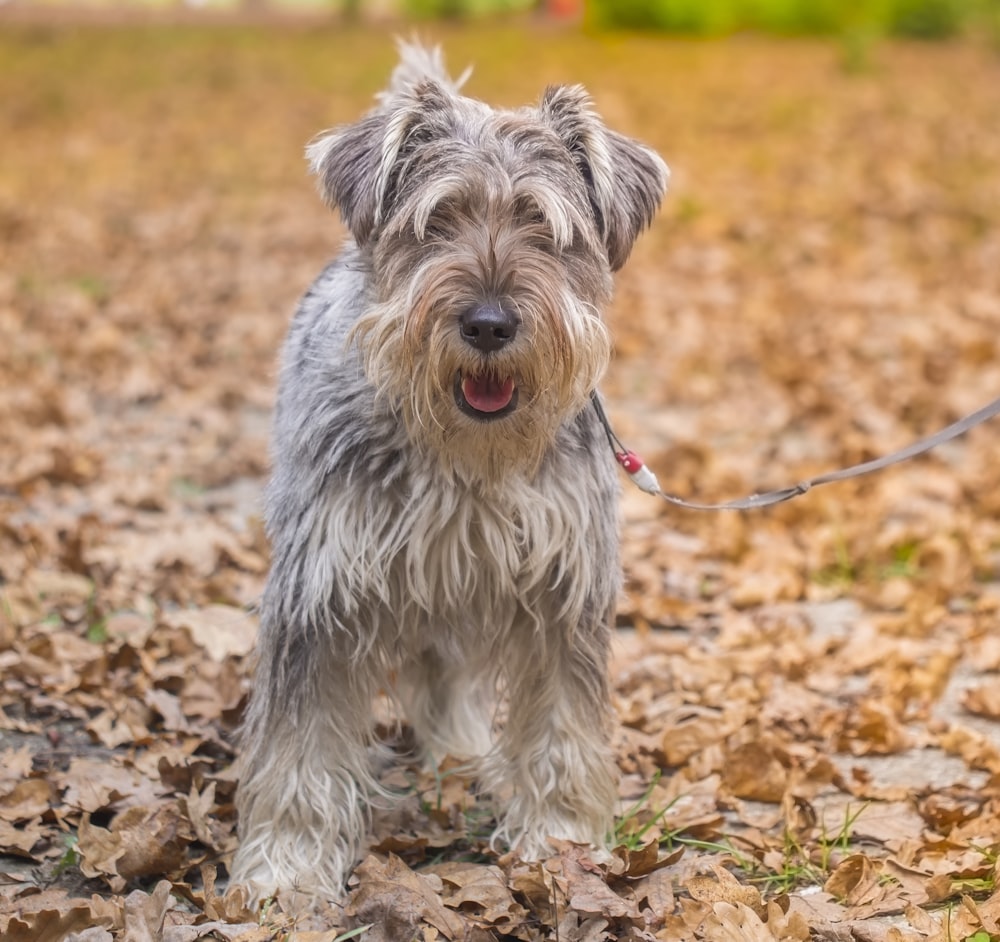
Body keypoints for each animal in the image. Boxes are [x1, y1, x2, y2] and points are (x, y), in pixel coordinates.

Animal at [233, 40, 668, 904]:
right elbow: (299, 753)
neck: (464, 457)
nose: (490, 323)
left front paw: (560, 842)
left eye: (545, 227)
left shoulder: (561, 594)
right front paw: (288, 868)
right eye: (436, 221)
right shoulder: (317, 596)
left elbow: (561, 733)